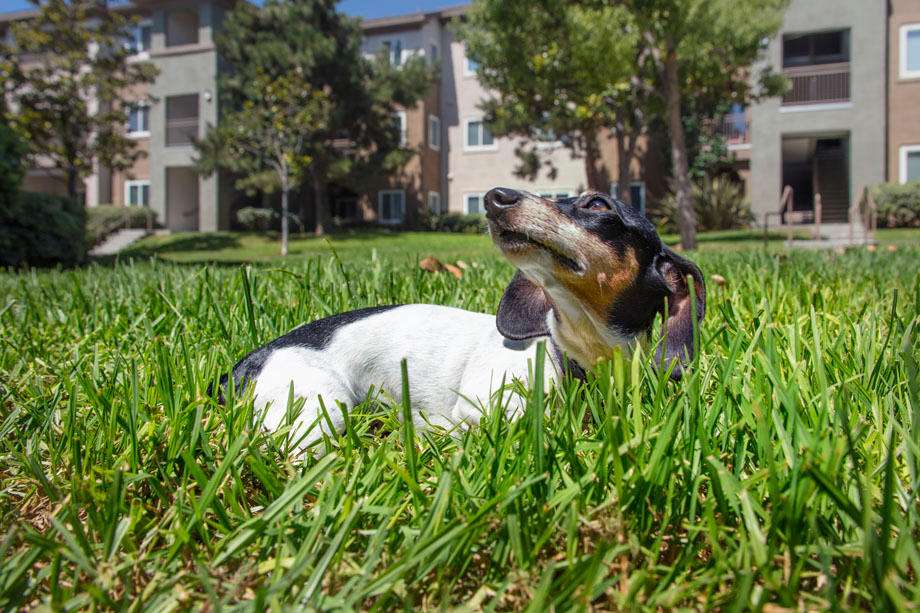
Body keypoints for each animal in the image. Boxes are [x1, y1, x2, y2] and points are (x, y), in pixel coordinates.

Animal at [221, 188, 704, 450]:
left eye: (599, 204)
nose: (495, 197)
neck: (571, 354)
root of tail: (247, 362)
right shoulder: (484, 406)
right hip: (318, 406)